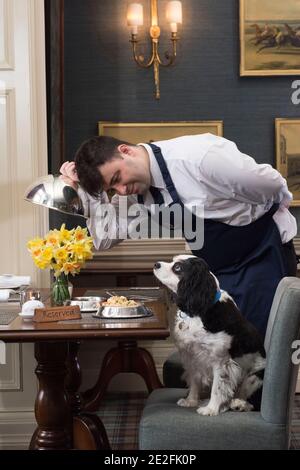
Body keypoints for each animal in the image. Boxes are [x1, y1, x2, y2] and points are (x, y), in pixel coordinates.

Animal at [154, 258, 266, 414]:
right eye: (173, 261)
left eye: (177, 267)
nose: (156, 264)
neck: (201, 309)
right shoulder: (192, 356)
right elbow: (194, 381)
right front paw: (191, 401)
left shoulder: (221, 361)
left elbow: (217, 388)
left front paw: (211, 409)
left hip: (256, 376)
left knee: (252, 401)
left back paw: (239, 404)